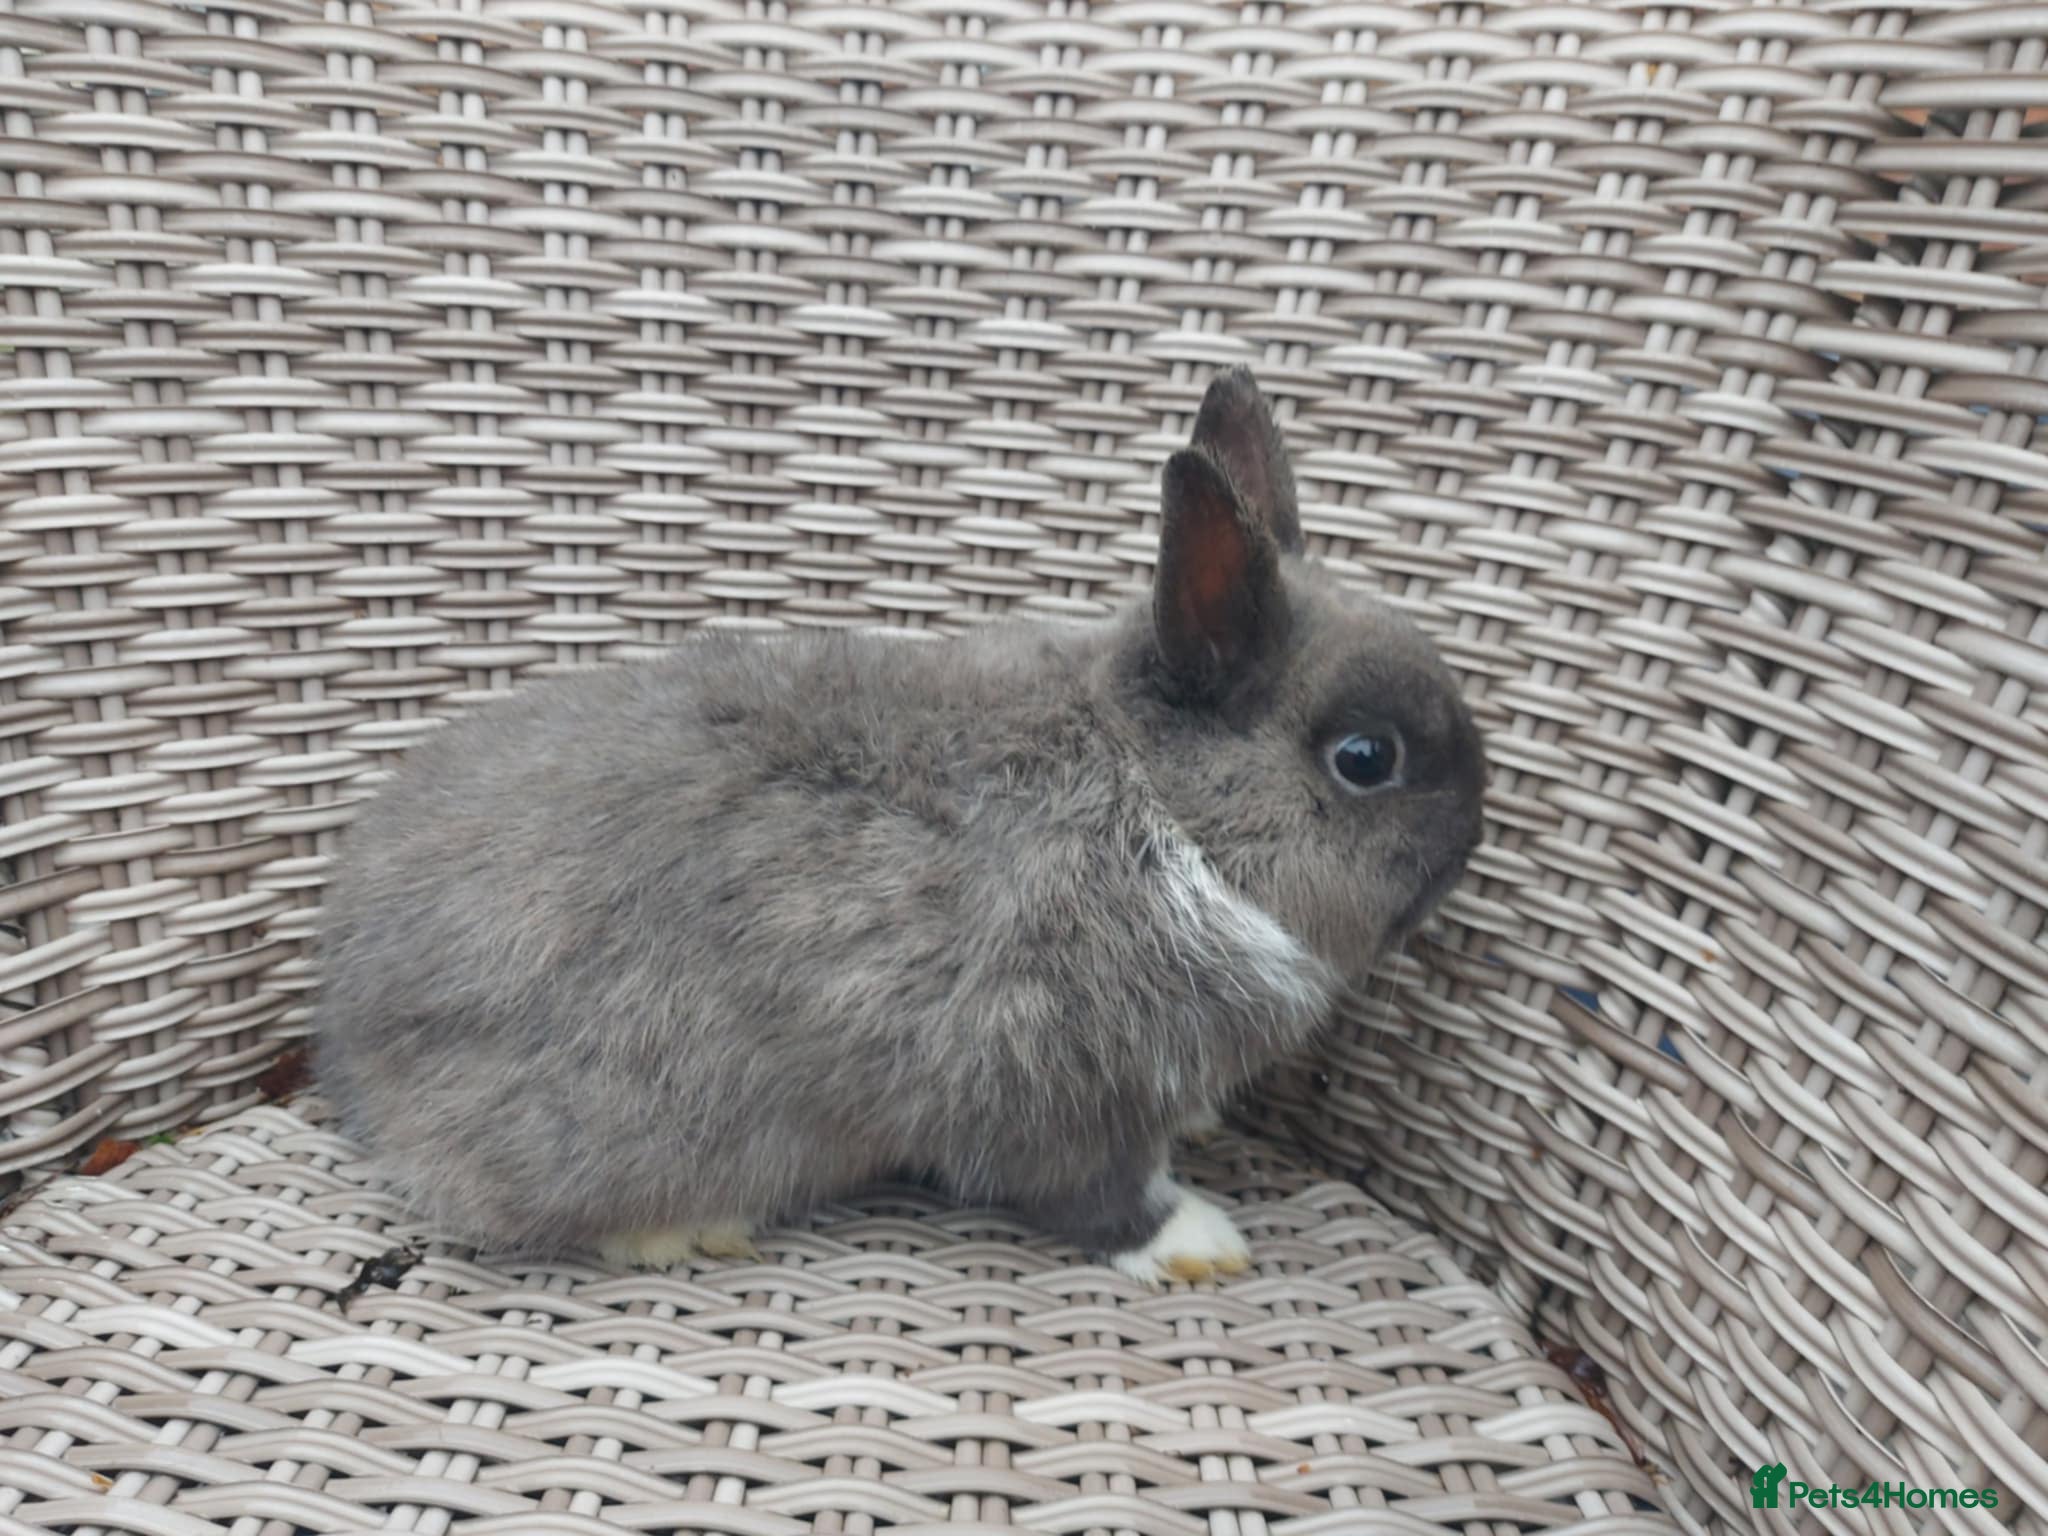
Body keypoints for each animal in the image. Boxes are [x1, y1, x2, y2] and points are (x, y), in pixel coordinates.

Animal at [313, 366, 1488, 1284]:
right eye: (1364, 760)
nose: (1473, 839)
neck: (1164, 810)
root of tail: (353, 1018)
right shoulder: (1051, 1081)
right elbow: (1094, 1191)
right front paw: (1197, 1242)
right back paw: (685, 1228)